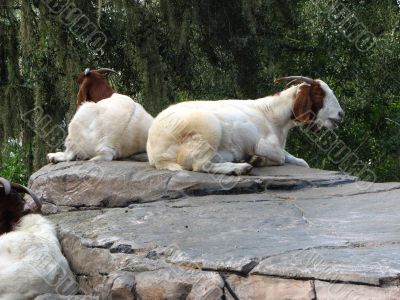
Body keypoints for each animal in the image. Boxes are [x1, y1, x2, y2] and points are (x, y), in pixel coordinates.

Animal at [147, 75, 344, 176]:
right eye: (319, 93)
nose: (340, 114)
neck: (271, 114)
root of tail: (155, 152)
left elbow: (301, 161)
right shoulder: (262, 145)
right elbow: (280, 157)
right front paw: (256, 160)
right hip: (209, 129)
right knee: (200, 165)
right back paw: (241, 167)